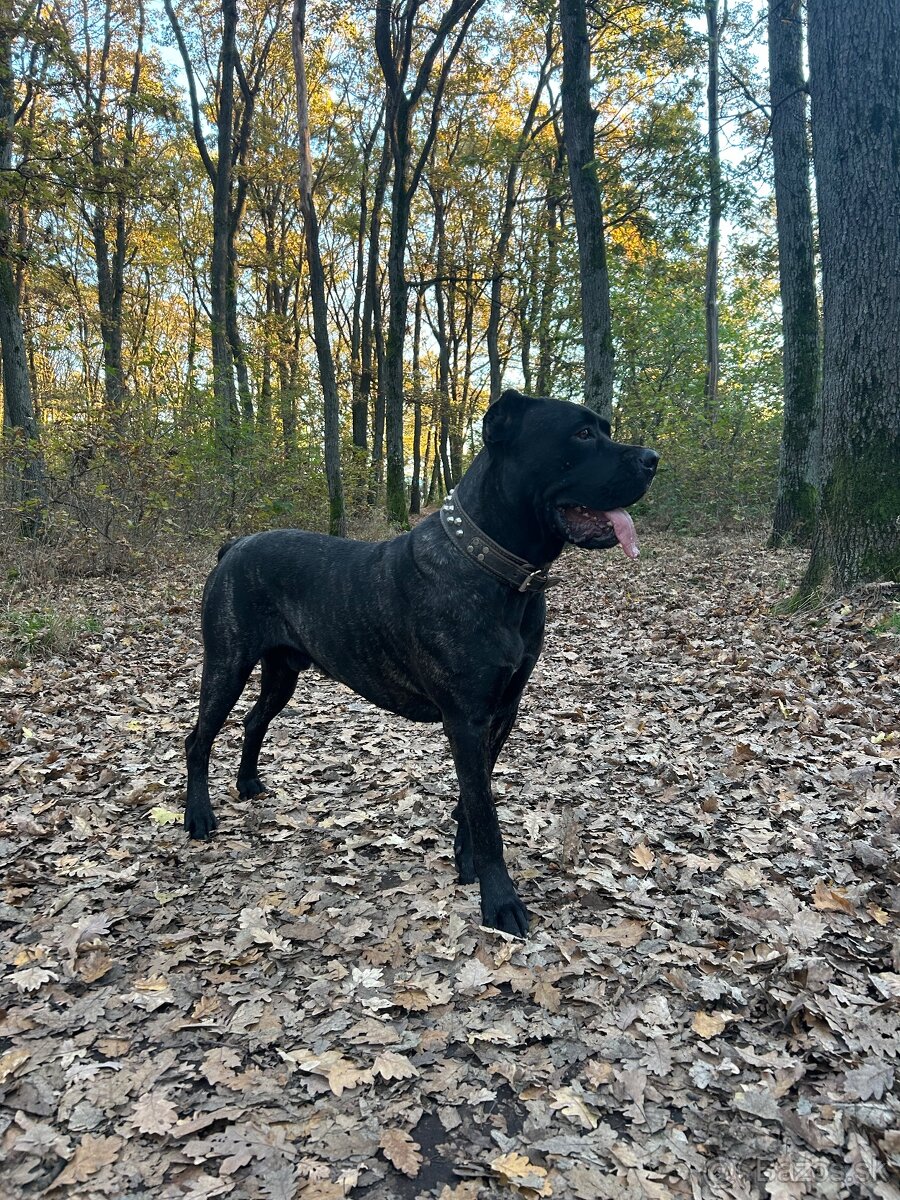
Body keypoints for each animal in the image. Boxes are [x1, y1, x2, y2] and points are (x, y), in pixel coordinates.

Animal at [184, 388, 662, 931]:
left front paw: (465, 856)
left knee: (253, 721)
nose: (652, 459)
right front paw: (501, 901)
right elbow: (485, 812)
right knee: (198, 738)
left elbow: (475, 796)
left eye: (604, 428)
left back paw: (247, 782)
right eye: (581, 433)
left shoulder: (502, 710)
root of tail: (233, 545)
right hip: (227, 663)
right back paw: (198, 816)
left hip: (282, 670)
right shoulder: (467, 717)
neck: (496, 570)